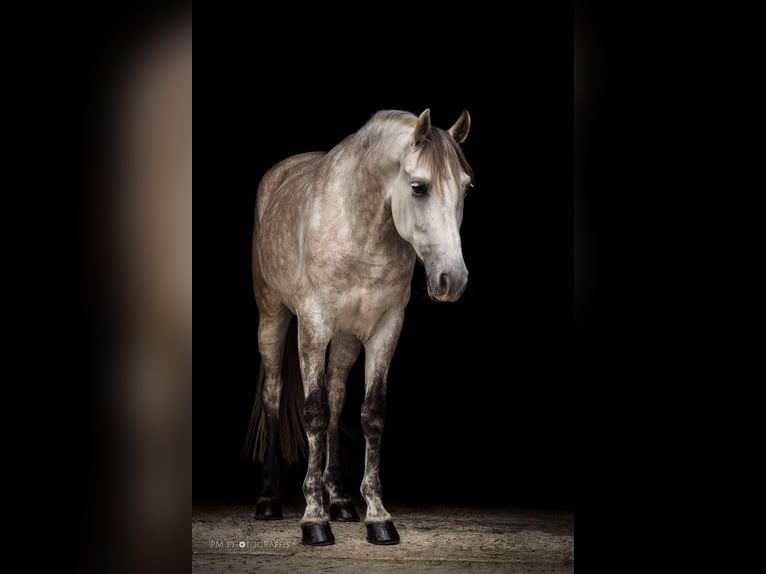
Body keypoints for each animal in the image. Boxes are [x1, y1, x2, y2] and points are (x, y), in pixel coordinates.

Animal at [247, 108, 474, 545]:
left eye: (467, 189)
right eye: (418, 187)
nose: (452, 280)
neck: (360, 228)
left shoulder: (386, 329)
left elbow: (370, 414)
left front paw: (377, 516)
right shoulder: (312, 326)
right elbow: (314, 413)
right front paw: (314, 519)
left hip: (348, 339)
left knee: (337, 398)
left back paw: (340, 500)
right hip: (273, 318)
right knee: (274, 395)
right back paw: (268, 499)